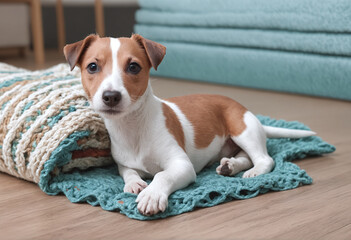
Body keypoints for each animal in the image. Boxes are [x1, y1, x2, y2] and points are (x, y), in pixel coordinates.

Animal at [64, 34, 316, 217]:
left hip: (242, 129)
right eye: (92, 67)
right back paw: (230, 166)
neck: (133, 127)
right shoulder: (124, 163)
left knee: (264, 159)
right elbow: (128, 173)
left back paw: (252, 171)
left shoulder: (181, 165)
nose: (111, 96)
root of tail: (243, 108)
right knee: (244, 156)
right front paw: (135, 184)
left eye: (134, 67)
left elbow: (162, 175)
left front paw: (152, 195)